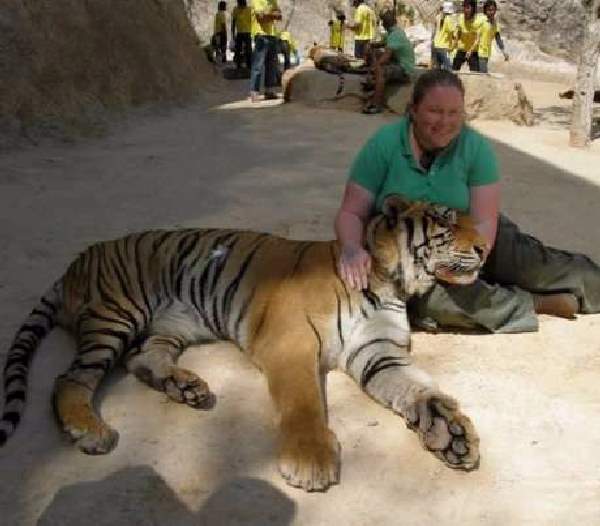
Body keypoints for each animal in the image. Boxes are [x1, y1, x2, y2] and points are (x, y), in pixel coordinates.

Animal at [0, 196, 488, 492]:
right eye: (446, 220)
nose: (485, 247)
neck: (390, 283)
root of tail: (76, 262)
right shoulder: (291, 341)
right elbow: (303, 402)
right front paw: (310, 461)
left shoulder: (378, 352)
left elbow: (420, 389)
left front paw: (452, 434)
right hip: (116, 314)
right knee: (70, 378)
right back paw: (90, 430)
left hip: (174, 323)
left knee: (143, 359)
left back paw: (186, 387)